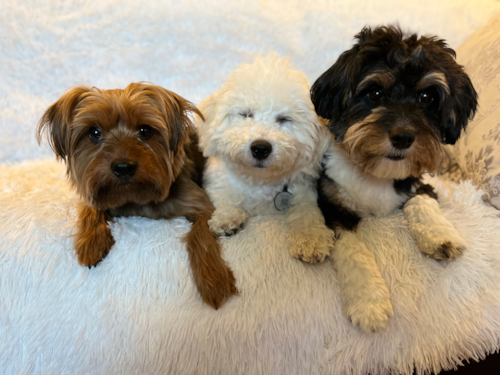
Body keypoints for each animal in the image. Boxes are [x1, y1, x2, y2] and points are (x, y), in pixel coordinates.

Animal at [38, 82, 237, 308]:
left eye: (145, 130)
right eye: (94, 132)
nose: (123, 167)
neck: (135, 198)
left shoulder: (200, 204)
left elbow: (200, 234)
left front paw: (214, 279)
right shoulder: (94, 190)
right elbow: (90, 208)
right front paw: (92, 242)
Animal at [197, 53, 334, 264]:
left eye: (284, 119)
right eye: (245, 114)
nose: (260, 148)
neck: (259, 181)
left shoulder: (303, 191)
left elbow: (307, 212)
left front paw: (311, 237)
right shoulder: (218, 184)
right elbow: (224, 197)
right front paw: (228, 217)